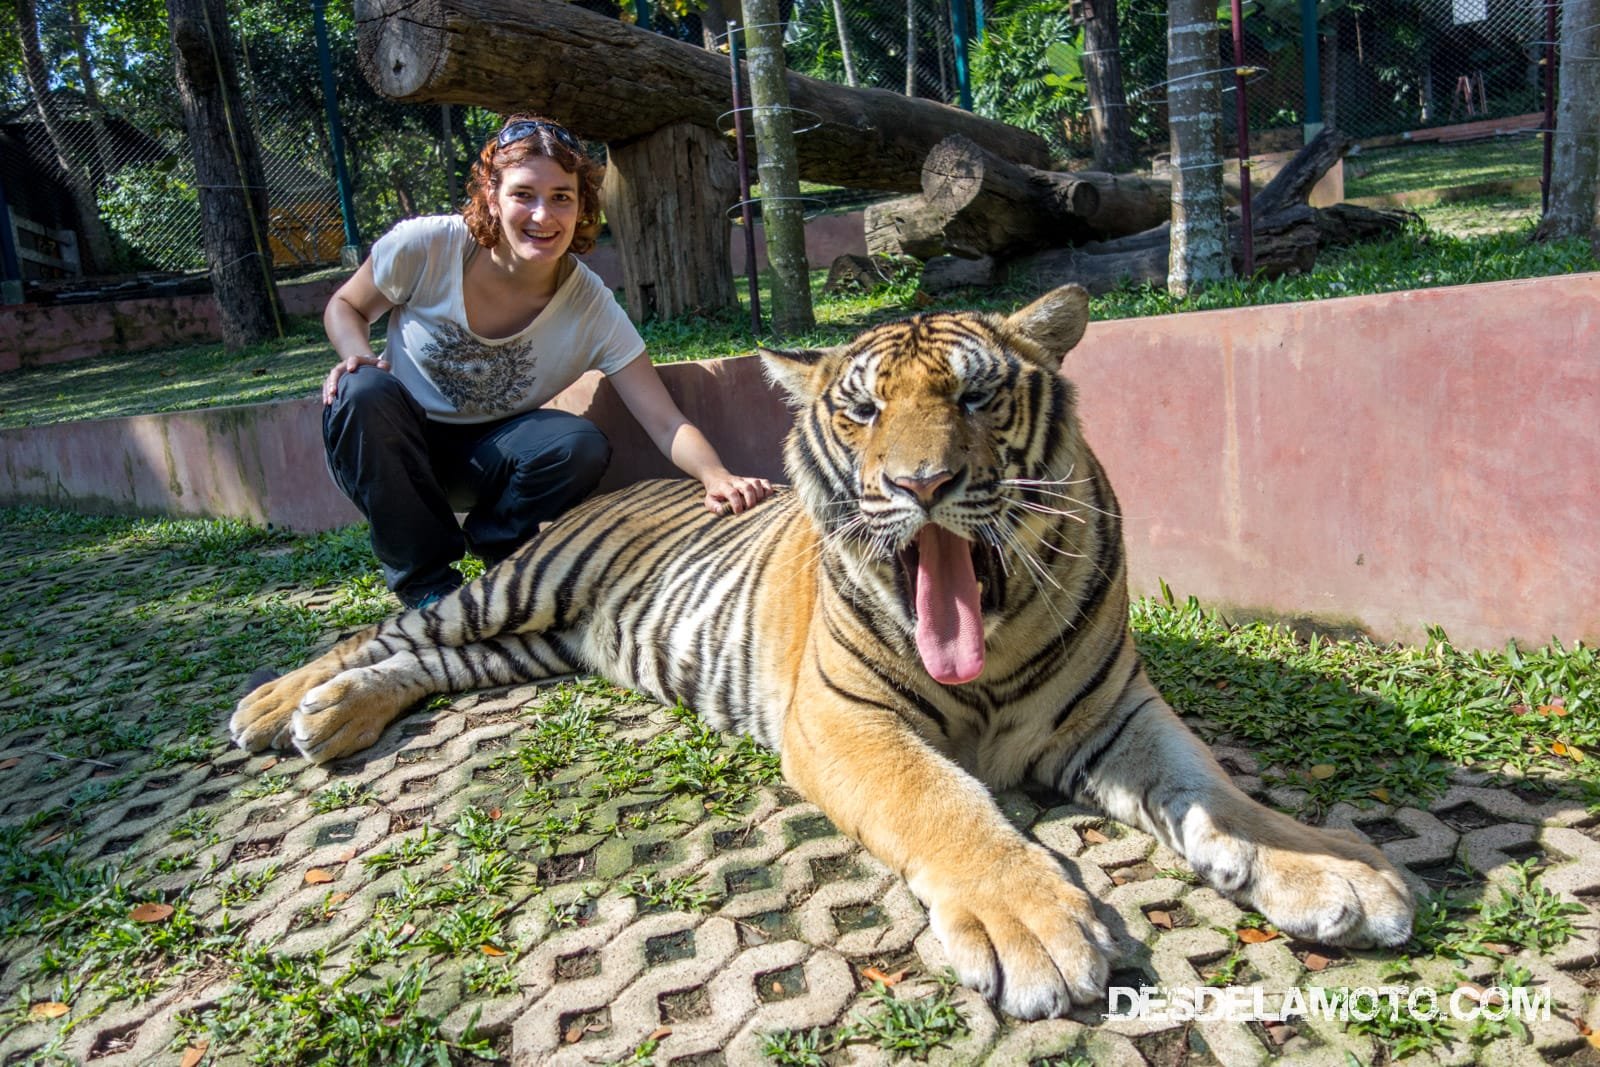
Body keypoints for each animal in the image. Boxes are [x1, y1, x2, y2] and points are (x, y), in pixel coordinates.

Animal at [230, 283, 1412, 1020]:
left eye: (977, 394)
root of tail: (603, 493)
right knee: (384, 630)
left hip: (537, 645)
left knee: (425, 667)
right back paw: (274, 707)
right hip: (514, 592)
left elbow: (1215, 789)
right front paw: (1033, 925)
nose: (920, 485)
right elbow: (945, 803)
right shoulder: (843, 718)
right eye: (861, 411)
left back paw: (331, 720)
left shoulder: (1116, 713)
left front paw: (1335, 870)